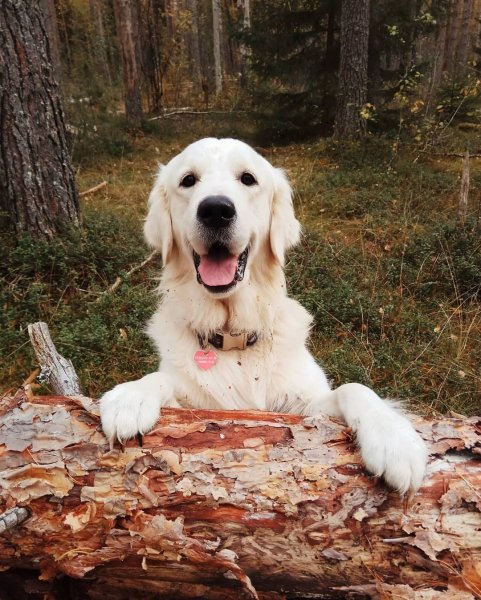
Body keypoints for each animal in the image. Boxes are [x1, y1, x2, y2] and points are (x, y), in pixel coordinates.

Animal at [99, 138, 426, 494]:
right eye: (188, 180)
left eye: (248, 178)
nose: (215, 210)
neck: (234, 337)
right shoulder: (196, 404)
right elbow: (161, 379)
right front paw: (131, 396)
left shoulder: (303, 404)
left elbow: (354, 388)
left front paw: (394, 438)